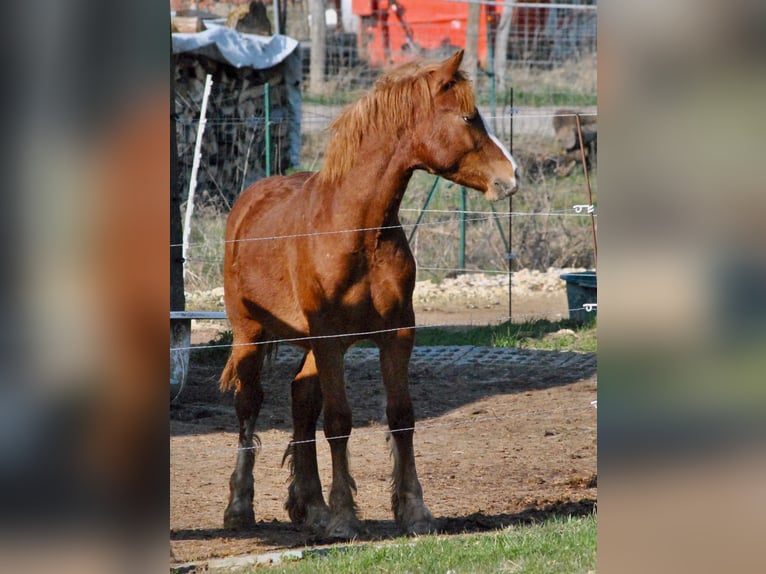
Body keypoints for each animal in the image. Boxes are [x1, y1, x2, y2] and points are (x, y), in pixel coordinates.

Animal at [222, 50, 520, 540]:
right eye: (468, 116)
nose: (512, 176)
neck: (356, 229)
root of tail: (247, 202)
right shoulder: (330, 341)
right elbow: (339, 422)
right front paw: (345, 517)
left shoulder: (396, 335)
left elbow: (401, 416)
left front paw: (413, 511)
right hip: (250, 334)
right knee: (249, 406)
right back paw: (240, 507)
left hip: (310, 346)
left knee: (301, 400)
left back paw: (311, 507)